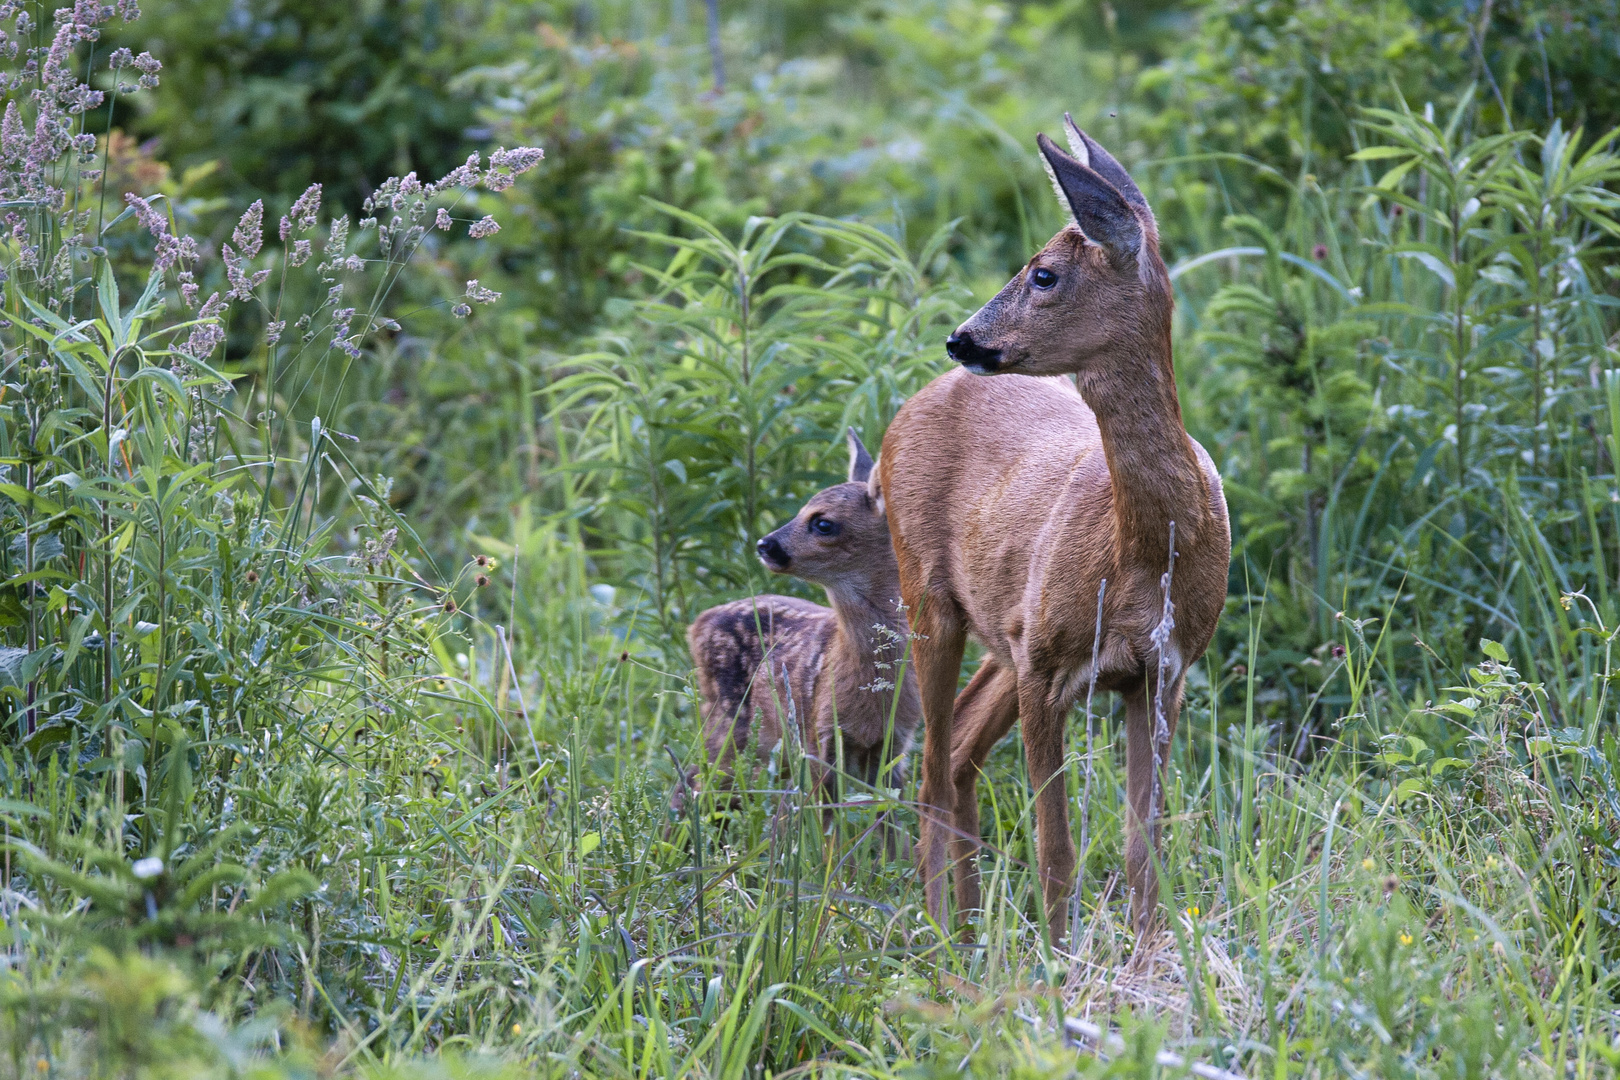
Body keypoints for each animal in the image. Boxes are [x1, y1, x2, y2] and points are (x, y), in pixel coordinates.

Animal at [677, 427, 920, 809]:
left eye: (823, 523)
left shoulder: (897, 741)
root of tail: (696, 623)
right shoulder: (820, 735)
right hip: (730, 720)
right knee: (697, 782)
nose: (765, 545)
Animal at [881, 118, 1231, 939]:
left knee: (956, 753)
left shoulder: (1164, 672)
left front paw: (1144, 955)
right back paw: (943, 940)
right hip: (931, 599)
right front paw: (1058, 960)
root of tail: (905, 410)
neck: (1143, 549)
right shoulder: (1049, 667)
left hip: (1006, 631)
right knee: (929, 769)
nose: (962, 338)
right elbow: (1057, 851)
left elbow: (1143, 848)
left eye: (1042, 274)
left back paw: (966, 929)